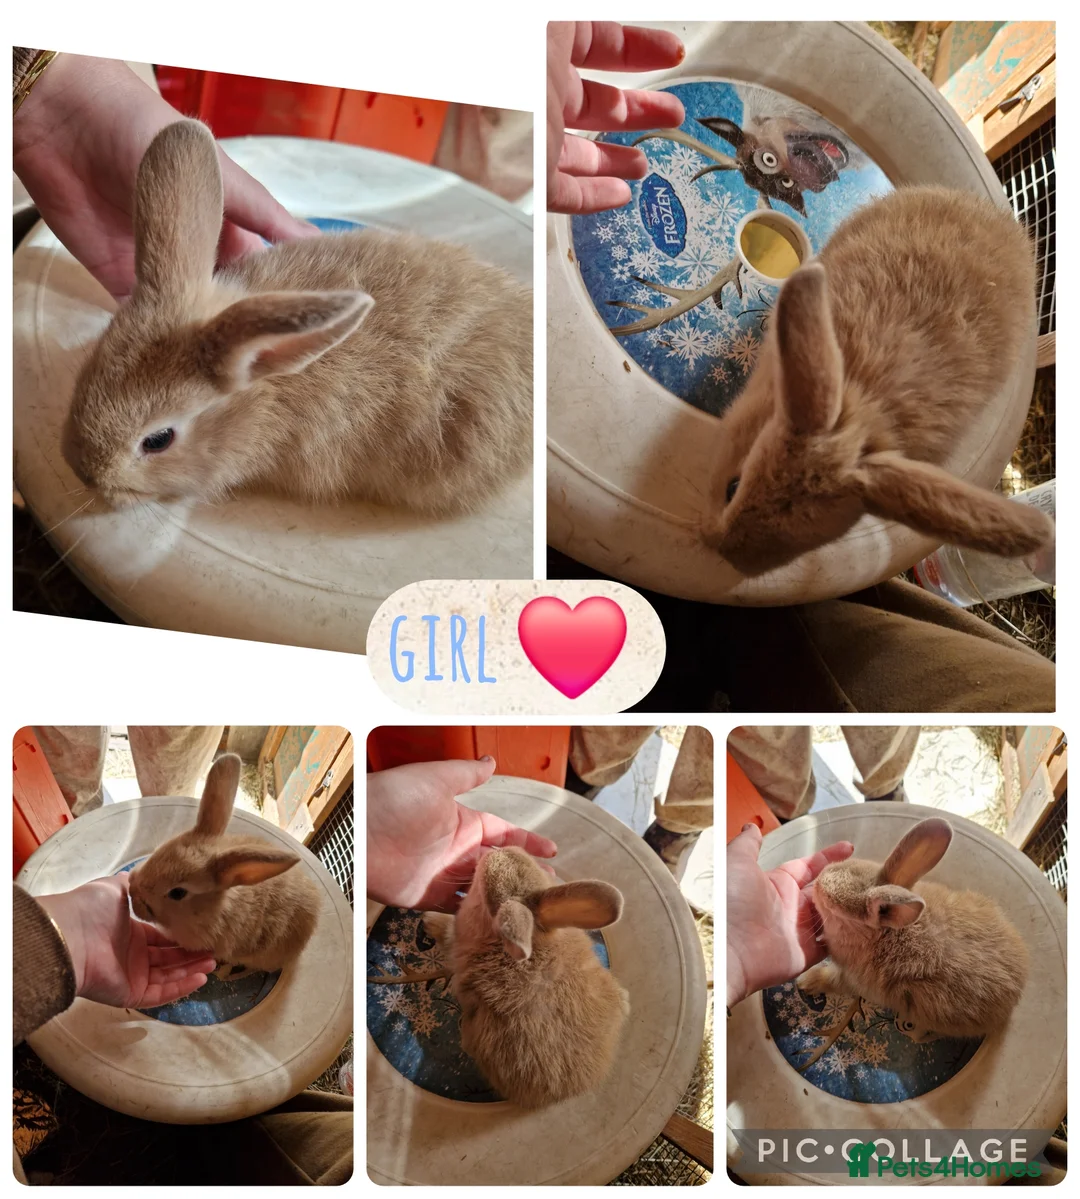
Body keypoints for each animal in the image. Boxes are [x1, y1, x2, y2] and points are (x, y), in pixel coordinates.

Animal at [796, 817, 1028, 1040]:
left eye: (831, 907)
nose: (816, 882)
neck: (883, 937)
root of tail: (1017, 989)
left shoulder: (853, 980)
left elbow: (832, 979)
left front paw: (806, 981)